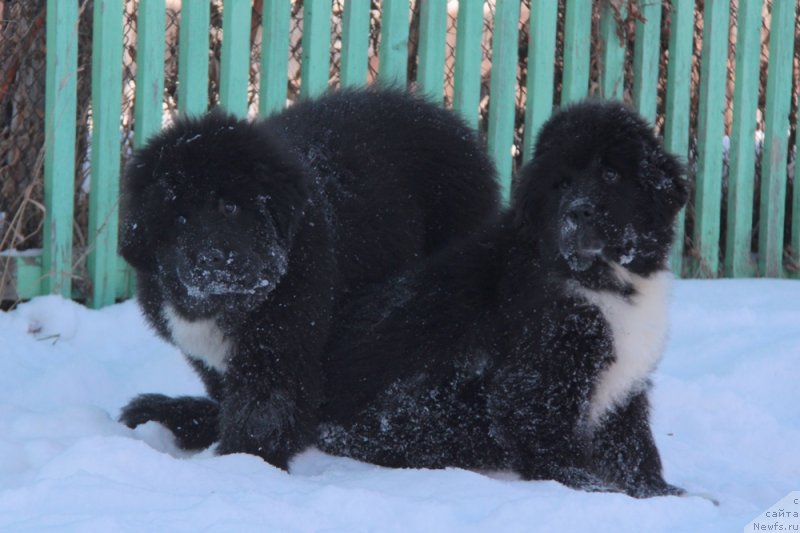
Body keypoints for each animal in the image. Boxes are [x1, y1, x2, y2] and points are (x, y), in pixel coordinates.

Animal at [117, 86, 500, 466]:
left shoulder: (280, 351)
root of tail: (448, 121)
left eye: (230, 206)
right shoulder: (209, 359)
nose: (212, 260)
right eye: (178, 218)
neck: (225, 306)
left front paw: (243, 465)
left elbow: (261, 416)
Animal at [318, 101, 688, 498]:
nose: (578, 211)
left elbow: (633, 447)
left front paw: (661, 493)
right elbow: (554, 442)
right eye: (561, 183)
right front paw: (596, 491)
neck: (603, 280)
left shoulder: (624, 387)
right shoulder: (540, 375)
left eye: (611, 174)